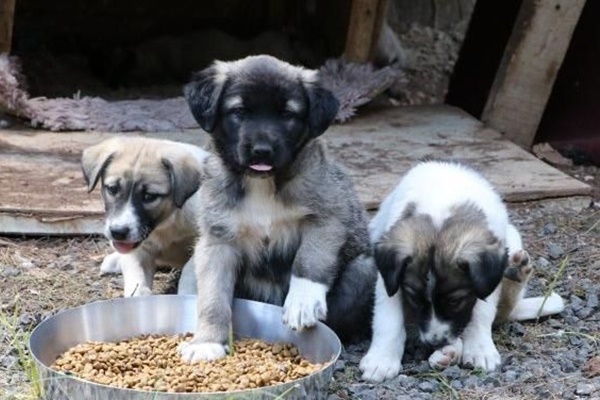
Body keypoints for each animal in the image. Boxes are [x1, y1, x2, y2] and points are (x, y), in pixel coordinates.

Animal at [81, 138, 209, 296]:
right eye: (113, 189)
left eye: (149, 196)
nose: (118, 232)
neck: (167, 222)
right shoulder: (137, 249)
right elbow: (135, 275)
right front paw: (139, 294)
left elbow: (190, 271)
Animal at [178, 55, 378, 362]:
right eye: (239, 111)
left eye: (287, 114)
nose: (262, 150)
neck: (261, 184)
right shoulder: (218, 241)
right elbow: (212, 297)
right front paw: (207, 342)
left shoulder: (327, 218)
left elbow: (310, 259)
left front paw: (302, 302)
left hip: (363, 269)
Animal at [358, 160, 564, 382]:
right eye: (414, 298)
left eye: (455, 301)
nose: (435, 343)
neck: (442, 202)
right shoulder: (388, 279)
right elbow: (388, 319)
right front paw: (382, 359)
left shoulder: (486, 280)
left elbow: (481, 313)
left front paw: (480, 349)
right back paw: (448, 353)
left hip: (512, 235)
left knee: (505, 308)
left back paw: (516, 272)